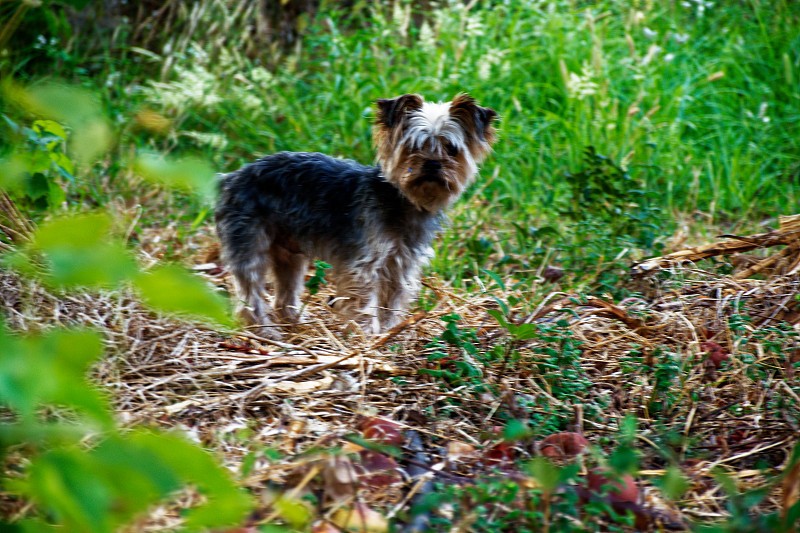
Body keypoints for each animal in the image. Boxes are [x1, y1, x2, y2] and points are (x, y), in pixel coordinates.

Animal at [216, 91, 496, 332]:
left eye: (451, 149)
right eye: (413, 147)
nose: (432, 164)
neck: (402, 201)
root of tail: (231, 178)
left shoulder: (401, 265)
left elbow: (392, 300)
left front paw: (387, 333)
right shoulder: (364, 265)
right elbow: (364, 304)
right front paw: (367, 337)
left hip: (288, 253)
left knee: (285, 290)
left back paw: (293, 322)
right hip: (250, 240)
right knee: (249, 291)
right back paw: (265, 330)